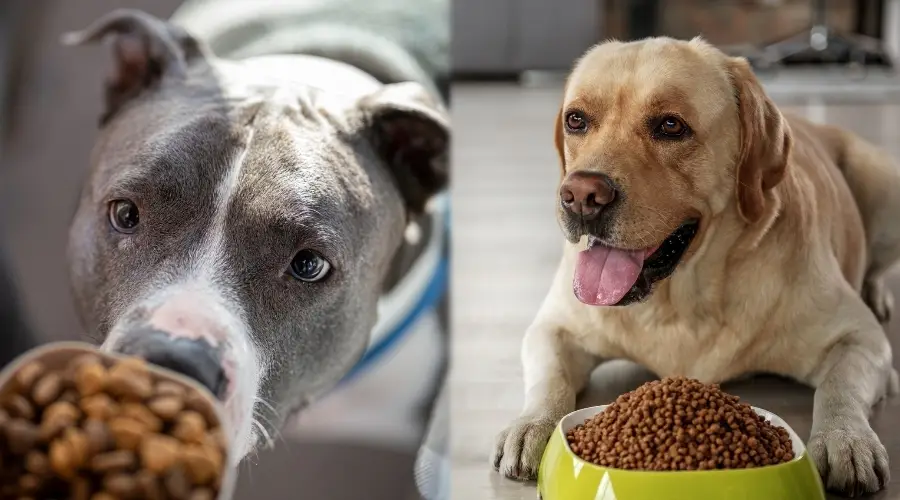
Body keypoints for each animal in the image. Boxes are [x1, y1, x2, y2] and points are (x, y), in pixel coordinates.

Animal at [492, 37, 900, 498]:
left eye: (671, 126)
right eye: (576, 120)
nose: (580, 195)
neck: (681, 301)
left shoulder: (862, 339)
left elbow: (838, 387)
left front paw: (844, 439)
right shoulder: (553, 327)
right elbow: (551, 379)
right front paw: (531, 425)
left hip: (886, 188)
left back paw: (878, 292)